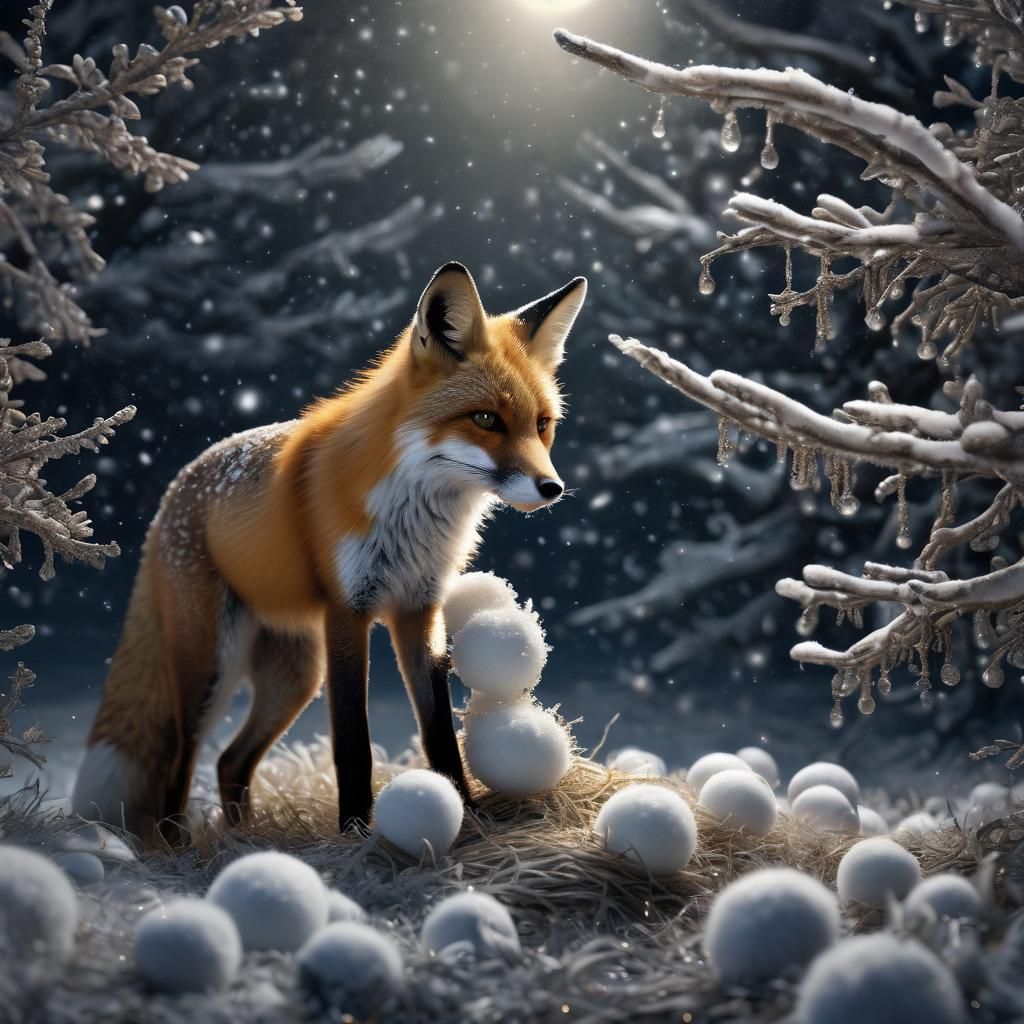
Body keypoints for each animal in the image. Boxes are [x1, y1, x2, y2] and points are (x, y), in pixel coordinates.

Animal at [71, 262, 587, 846]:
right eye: (485, 420)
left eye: (541, 424)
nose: (552, 488)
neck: (412, 515)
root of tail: (172, 494)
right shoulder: (348, 610)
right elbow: (353, 744)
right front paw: (357, 832)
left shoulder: (418, 609)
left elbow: (438, 733)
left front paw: (465, 816)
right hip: (213, 668)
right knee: (180, 763)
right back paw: (179, 848)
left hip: (295, 677)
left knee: (229, 762)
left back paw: (245, 841)